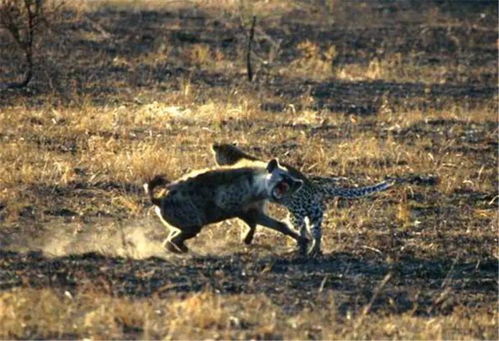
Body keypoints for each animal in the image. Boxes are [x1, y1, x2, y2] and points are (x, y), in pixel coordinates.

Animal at [144, 159, 308, 252]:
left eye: (292, 180)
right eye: (283, 176)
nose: (297, 182)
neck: (257, 189)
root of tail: (159, 199)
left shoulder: (254, 209)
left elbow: (277, 225)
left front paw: (302, 240)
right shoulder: (230, 204)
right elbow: (250, 221)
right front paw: (247, 237)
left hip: (179, 220)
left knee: (171, 237)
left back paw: (177, 248)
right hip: (188, 218)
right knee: (181, 235)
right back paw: (181, 248)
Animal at [209, 143, 396, 255]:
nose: (213, 146)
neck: (236, 156)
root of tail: (315, 187)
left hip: (296, 215)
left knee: (302, 232)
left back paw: (300, 248)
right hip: (315, 216)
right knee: (316, 234)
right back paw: (314, 251)